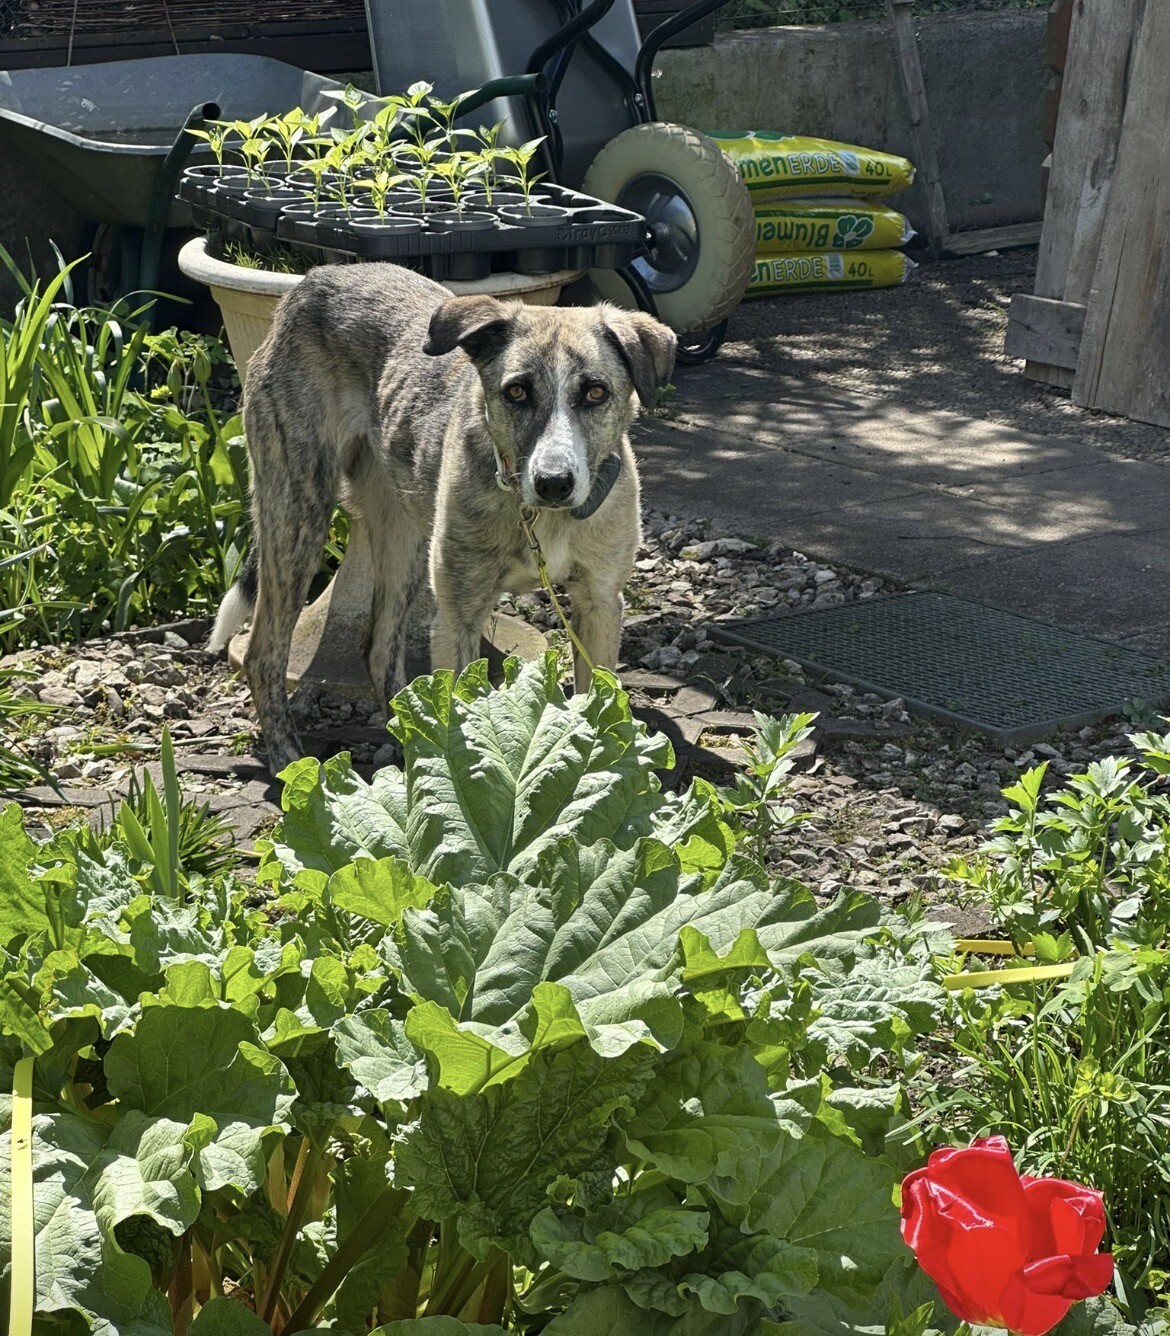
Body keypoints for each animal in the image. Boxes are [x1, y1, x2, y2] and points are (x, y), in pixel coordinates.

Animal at [209, 262, 677, 773]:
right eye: (516, 391)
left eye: (595, 392)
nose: (554, 482)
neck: (538, 517)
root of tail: (315, 277)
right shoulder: (459, 617)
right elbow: (460, 725)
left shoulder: (599, 606)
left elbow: (595, 705)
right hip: (299, 514)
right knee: (264, 654)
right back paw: (289, 758)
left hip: (403, 537)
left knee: (378, 649)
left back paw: (408, 737)